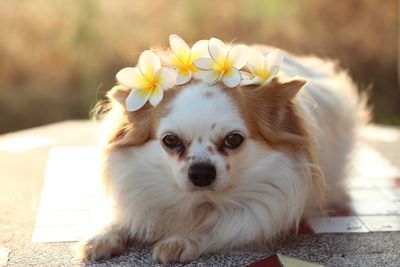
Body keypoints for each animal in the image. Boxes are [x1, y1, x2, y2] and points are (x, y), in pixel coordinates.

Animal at [76, 37, 368, 264]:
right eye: (170, 141)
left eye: (233, 139)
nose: (201, 172)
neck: (200, 203)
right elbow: (129, 215)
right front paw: (104, 234)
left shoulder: (265, 209)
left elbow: (221, 227)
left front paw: (182, 240)